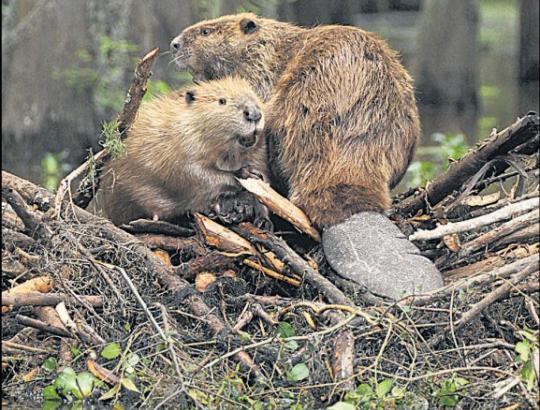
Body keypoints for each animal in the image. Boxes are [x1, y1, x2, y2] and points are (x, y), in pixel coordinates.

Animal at [90, 75, 272, 226]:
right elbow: (192, 173)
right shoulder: (181, 144)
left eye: (254, 95)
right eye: (222, 101)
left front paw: (263, 220)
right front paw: (245, 173)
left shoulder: (259, 152)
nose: (254, 114)